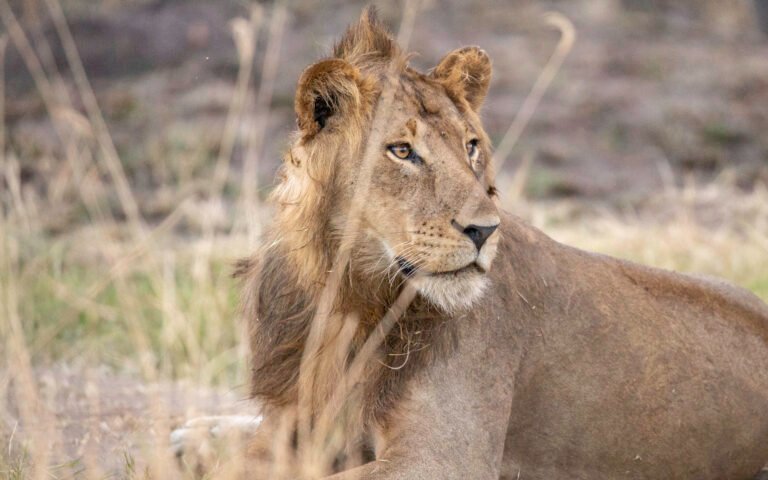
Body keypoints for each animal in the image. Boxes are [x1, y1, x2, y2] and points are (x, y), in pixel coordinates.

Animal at [172, 8, 768, 479]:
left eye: (472, 147)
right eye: (402, 151)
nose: (484, 230)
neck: (344, 293)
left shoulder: (444, 457)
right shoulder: (293, 428)